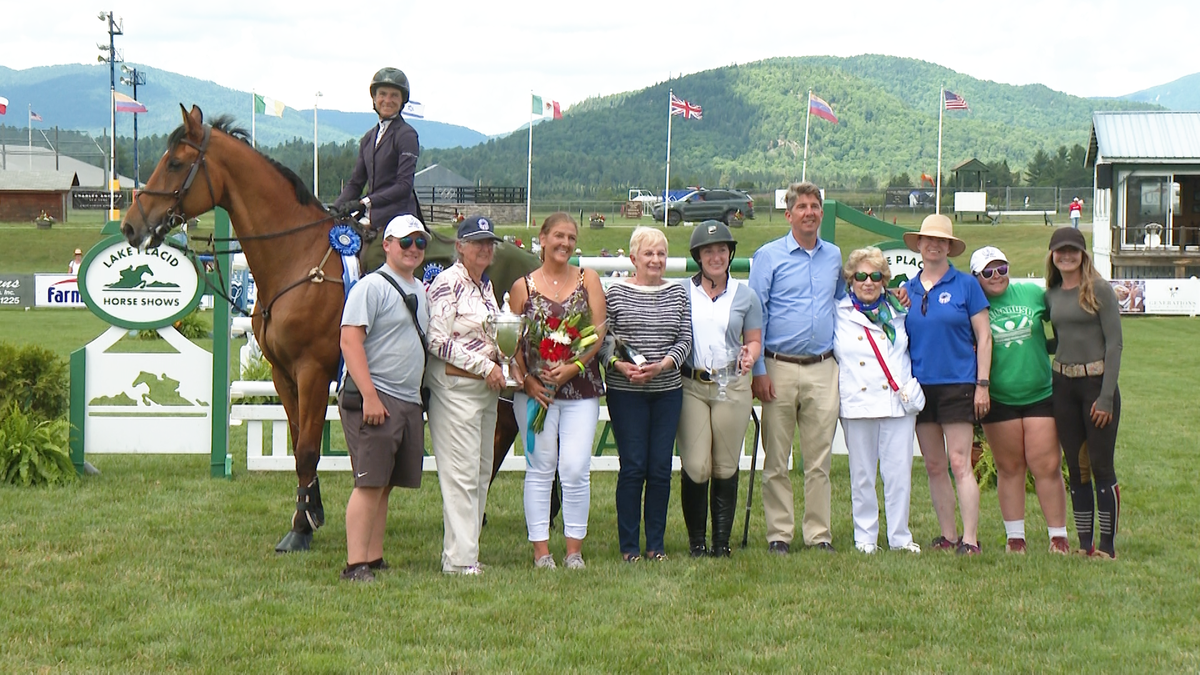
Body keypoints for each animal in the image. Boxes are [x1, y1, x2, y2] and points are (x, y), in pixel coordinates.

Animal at [120, 103, 540, 547]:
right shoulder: (284, 374)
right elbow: (298, 443)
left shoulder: (312, 372)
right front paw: (308, 512)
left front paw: (300, 528)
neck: (296, 256)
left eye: (175, 163)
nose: (131, 226)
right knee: (503, 433)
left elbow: (307, 448)